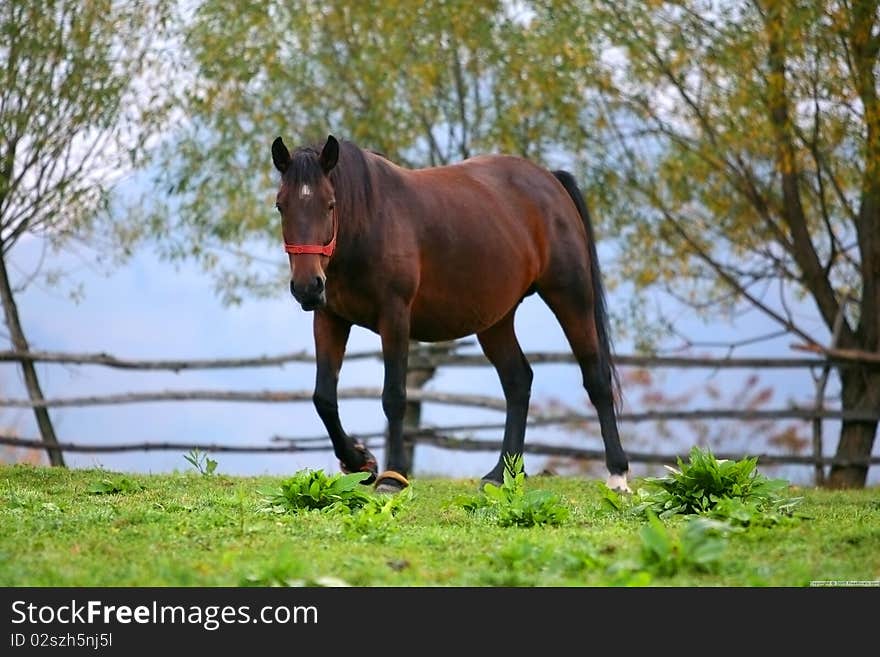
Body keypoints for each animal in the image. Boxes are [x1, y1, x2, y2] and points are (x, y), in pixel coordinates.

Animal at [272, 133, 628, 492]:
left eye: (330, 204)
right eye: (281, 206)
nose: (307, 286)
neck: (369, 222)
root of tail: (551, 180)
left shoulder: (395, 316)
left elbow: (394, 397)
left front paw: (393, 476)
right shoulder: (330, 318)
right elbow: (324, 398)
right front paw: (361, 461)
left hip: (571, 297)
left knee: (596, 378)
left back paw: (618, 474)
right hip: (495, 320)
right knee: (518, 381)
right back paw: (502, 474)